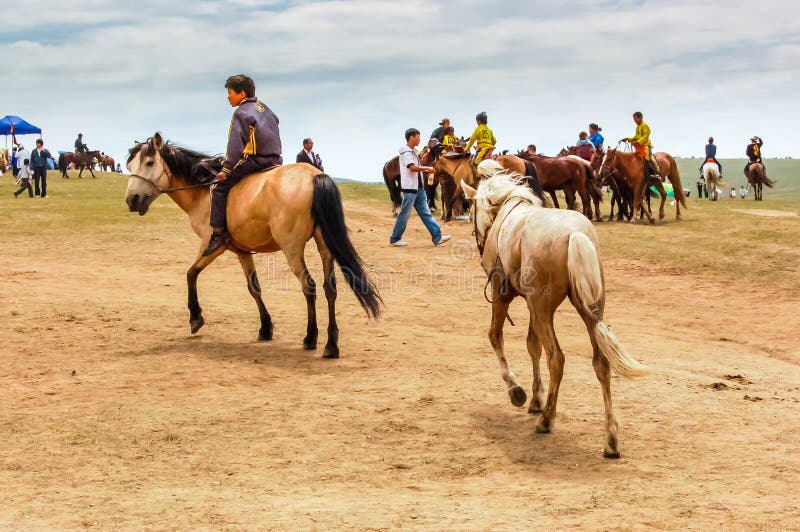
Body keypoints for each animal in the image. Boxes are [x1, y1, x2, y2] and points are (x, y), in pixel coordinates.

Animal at [125, 133, 382, 358]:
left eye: (149, 162)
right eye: (129, 166)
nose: (131, 200)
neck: (203, 190)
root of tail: (314, 176)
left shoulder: (212, 244)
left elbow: (191, 273)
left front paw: (195, 318)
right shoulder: (242, 251)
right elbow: (253, 287)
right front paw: (265, 328)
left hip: (292, 249)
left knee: (309, 286)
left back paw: (311, 338)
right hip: (324, 246)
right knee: (330, 289)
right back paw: (331, 344)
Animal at [460, 160, 648, 460]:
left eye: (470, 210)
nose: (479, 242)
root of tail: (575, 235)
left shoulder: (504, 296)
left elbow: (496, 337)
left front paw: (518, 391)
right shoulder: (532, 305)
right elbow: (531, 345)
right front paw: (536, 398)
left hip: (543, 308)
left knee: (556, 358)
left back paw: (547, 420)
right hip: (588, 309)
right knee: (601, 362)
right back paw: (610, 440)